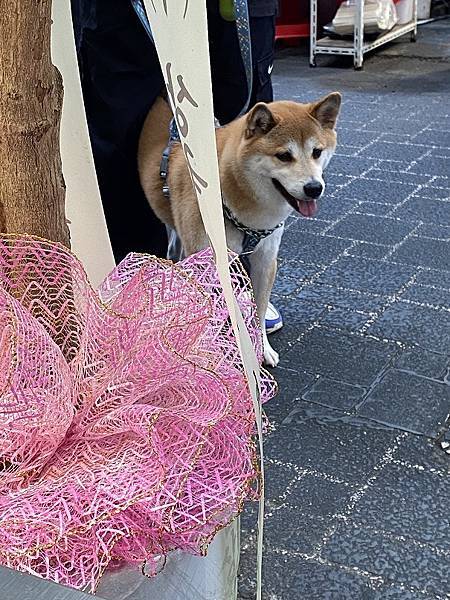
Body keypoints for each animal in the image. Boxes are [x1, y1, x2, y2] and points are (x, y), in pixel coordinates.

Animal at [138, 92, 342, 366]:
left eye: (317, 152)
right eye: (284, 156)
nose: (313, 188)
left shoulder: (265, 259)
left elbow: (258, 309)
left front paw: (261, 350)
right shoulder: (208, 262)